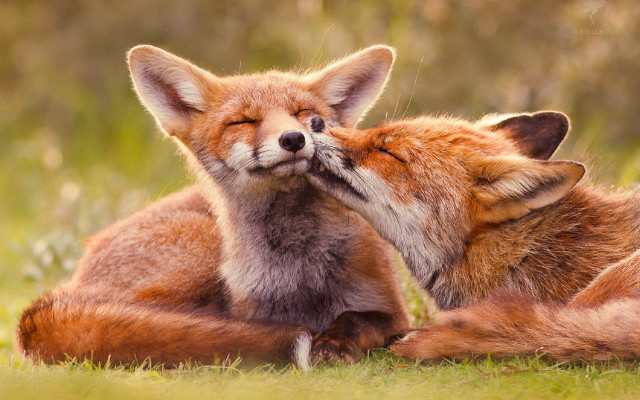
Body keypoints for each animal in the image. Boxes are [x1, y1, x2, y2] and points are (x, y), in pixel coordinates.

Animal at [15, 45, 410, 370]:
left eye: (305, 114)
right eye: (243, 121)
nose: (294, 139)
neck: (297, 270)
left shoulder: (392, 311)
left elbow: (357, 319)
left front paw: (333, 342)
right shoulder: (251, 308)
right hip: (202, 251)